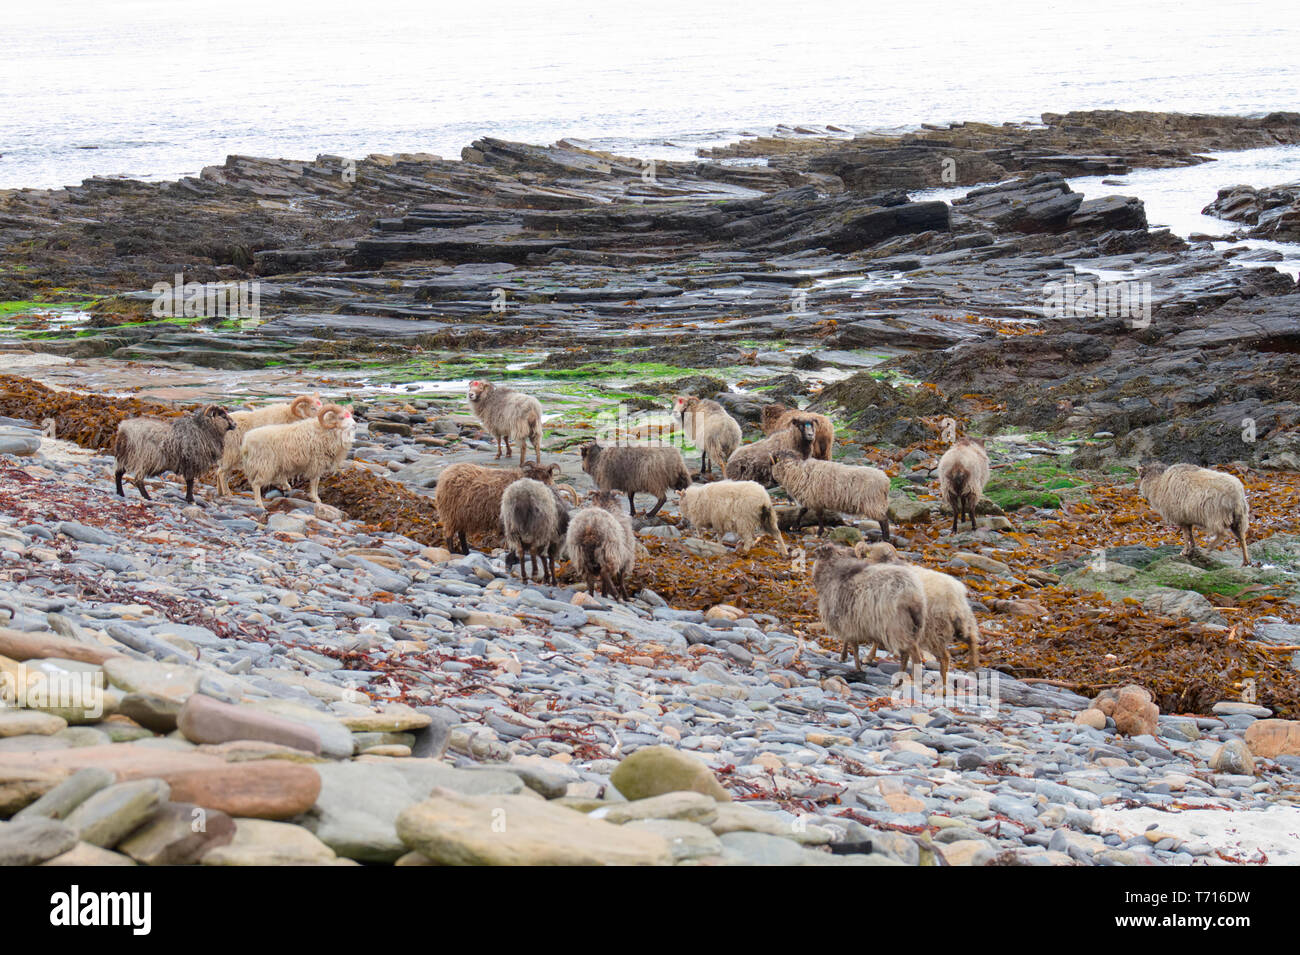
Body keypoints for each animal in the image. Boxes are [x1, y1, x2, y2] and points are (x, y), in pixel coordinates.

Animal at [811, 542, 926, 672]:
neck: (834, 571)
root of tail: (913, 595)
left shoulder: (846, 620)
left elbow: (854, 647)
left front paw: (857, 667)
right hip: (913, 628)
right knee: (907, 654)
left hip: (897, 626)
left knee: (913, 653)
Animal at [855, 541, 981, 681]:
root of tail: (955, 592)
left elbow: (876, 640)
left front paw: (868, 658)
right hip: (961, 621)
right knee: (972, 638)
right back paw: (972, 664)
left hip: (935, 629)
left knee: (945, 657)